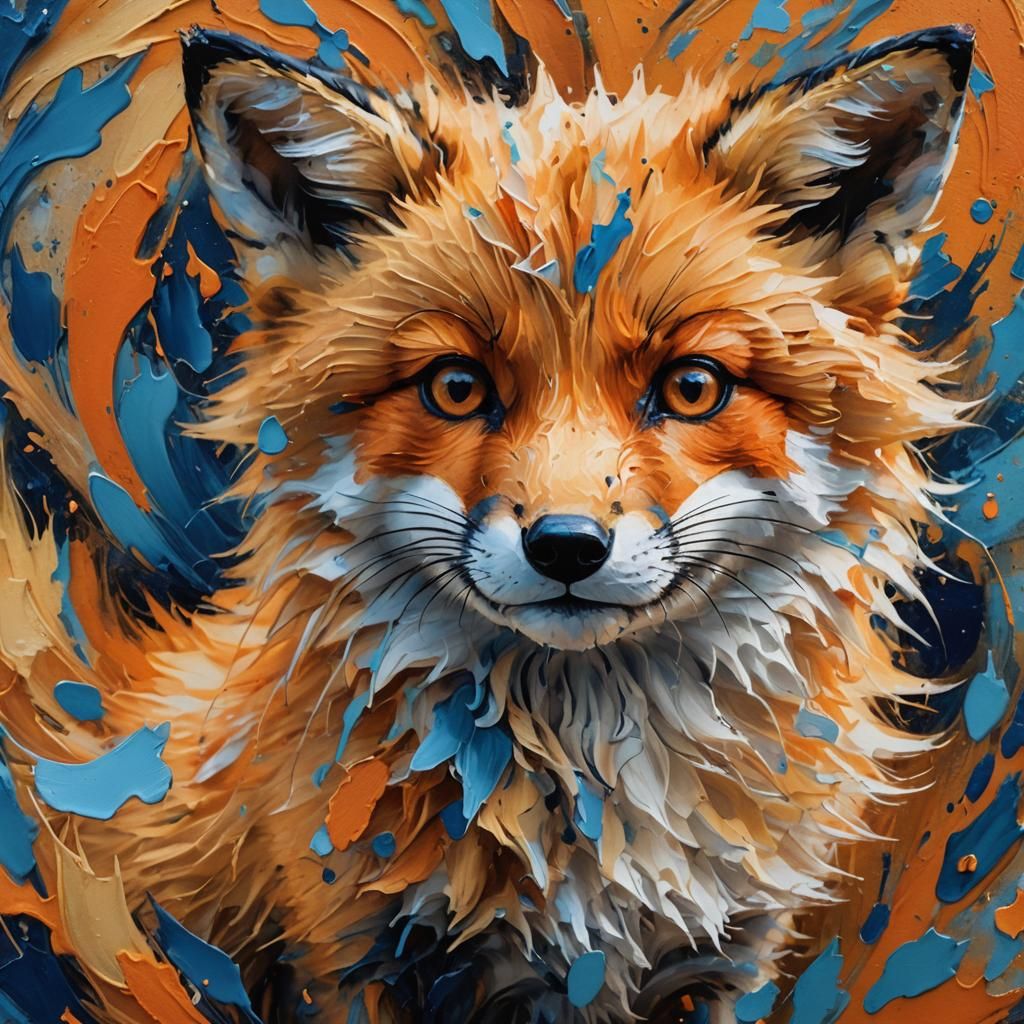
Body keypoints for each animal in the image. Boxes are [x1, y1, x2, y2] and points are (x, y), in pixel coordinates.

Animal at [0, 19, 978, 1024]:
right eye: (458, 387)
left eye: (692, 387)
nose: (567, 546)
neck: (588, 796)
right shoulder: (352, 957)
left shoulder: (725, 960)